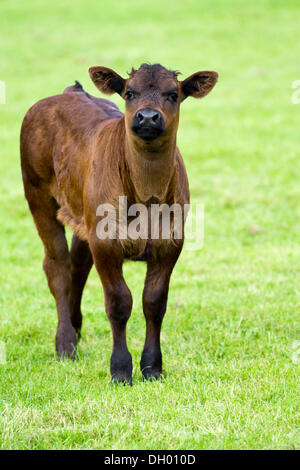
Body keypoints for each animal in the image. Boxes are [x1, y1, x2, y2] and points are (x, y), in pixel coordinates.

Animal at [21, 63, 218, 382]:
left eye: (173, 94)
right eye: (130, 93)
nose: (148, 116)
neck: (146, 194)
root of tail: (70, 92)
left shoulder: (170, 242)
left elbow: (154, 302)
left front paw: (152, 367)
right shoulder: (106, 242)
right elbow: (118, 302)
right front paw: (121, 369)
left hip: (85, 216)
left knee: (78, 266)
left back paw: (76, 328)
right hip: (38, 194)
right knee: (57, 266)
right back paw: (65, 344)